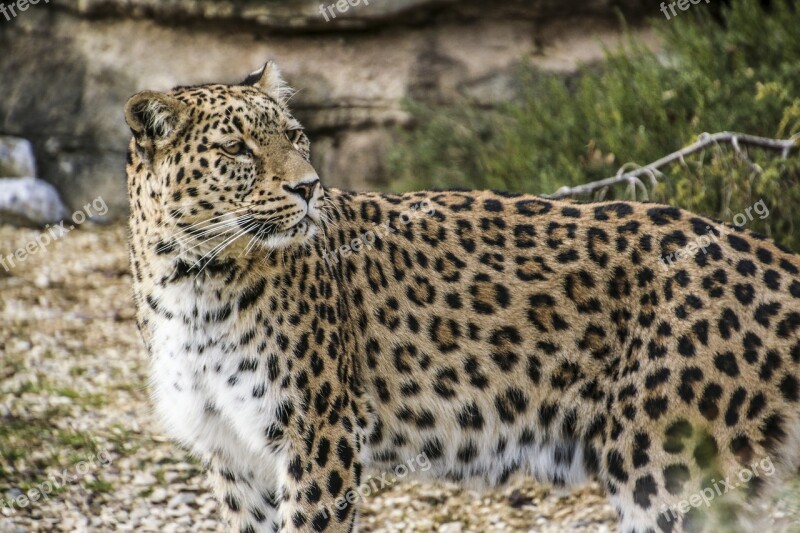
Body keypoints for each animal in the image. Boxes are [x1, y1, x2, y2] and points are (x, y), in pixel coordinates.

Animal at [123, 60, 800, 528]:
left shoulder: (318, 437)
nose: (309, 187)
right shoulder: (232, 453)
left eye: (295, 136)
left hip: (672, 472)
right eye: (236, 149)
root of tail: (770, 256)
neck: (191, 281)